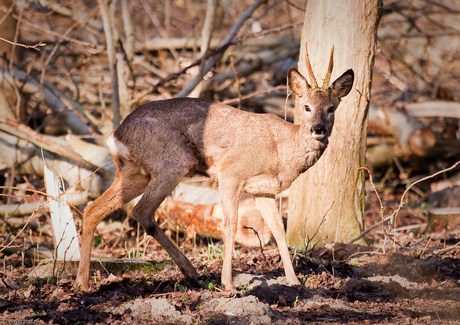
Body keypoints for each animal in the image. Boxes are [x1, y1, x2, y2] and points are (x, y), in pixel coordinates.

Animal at [76, 45, 356, 288]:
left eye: (331, 108)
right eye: (306, 107)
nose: (318, 129)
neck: (282, 153)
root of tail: (115, 135)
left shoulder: (263, 189)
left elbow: (278, 229)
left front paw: (294, 281)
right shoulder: (230, 173)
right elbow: (230, 224)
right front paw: (228, 283)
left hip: (135, 172)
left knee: (95, 209)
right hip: (170, 163)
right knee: (141, 210)